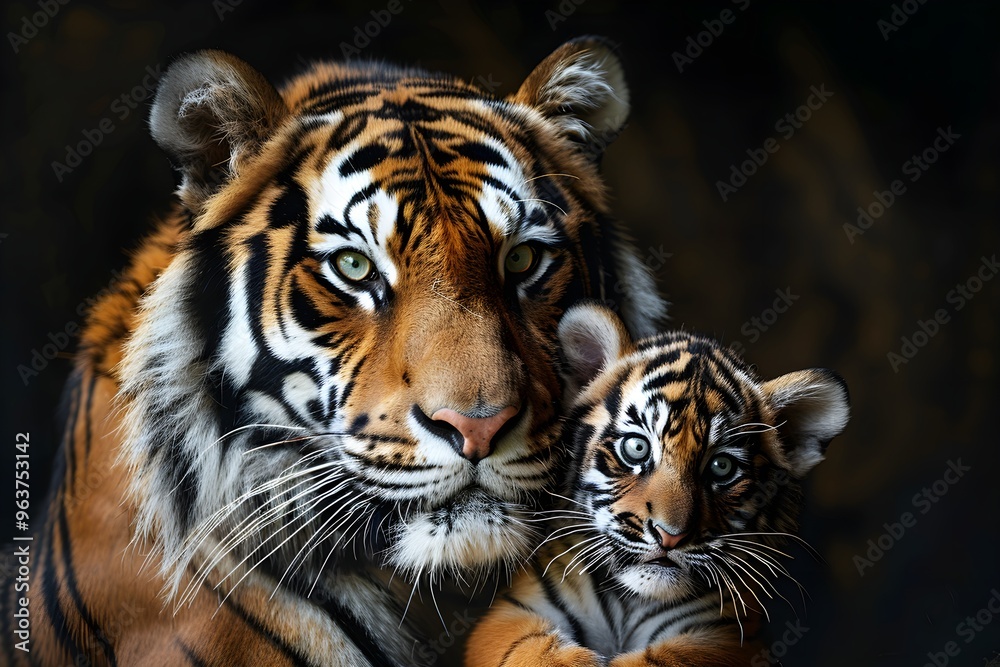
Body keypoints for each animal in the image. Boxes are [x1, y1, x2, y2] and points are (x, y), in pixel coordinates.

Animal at [466, 302, 850, 667]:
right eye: (637, 448)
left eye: (721, 467)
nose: (670, 537)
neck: (629, 603)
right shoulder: (514, 612)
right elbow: (526, 650)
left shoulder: (725, 635)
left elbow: (672, 658)